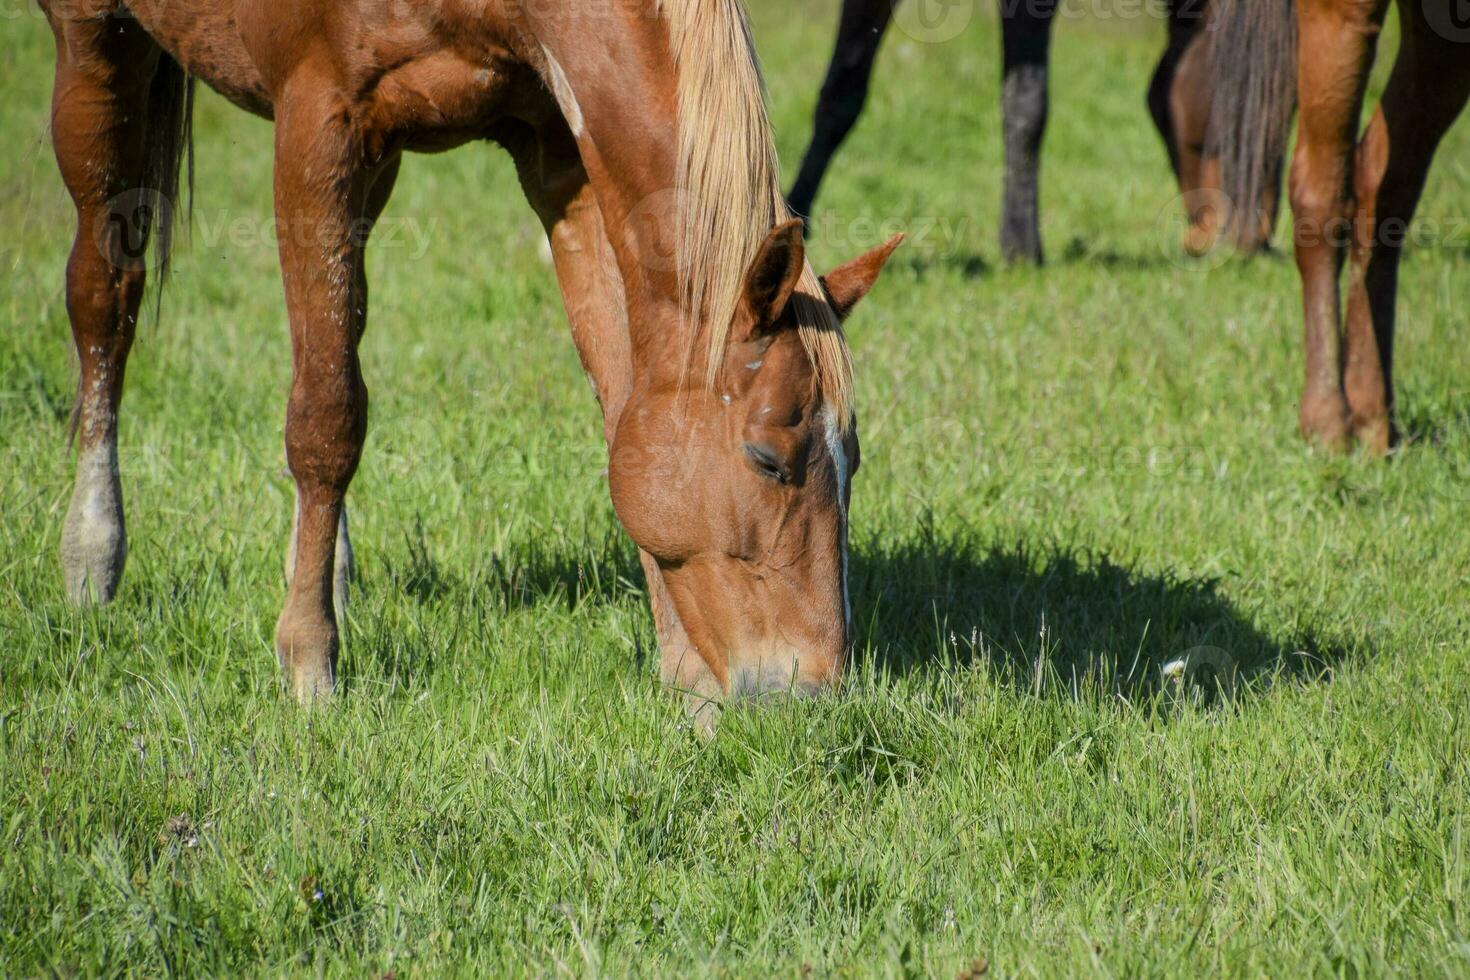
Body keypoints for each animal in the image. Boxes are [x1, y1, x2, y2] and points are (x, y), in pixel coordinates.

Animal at [40, 0, 899, 719]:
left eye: (853, 462)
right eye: (768, 460)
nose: (816, 691)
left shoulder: (559, 152)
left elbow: (624, 401)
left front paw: (688, 681)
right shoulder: (318, 120)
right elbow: (326, 418)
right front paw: (310, 665)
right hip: (97, 47)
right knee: (105, 299)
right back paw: (92, 557)